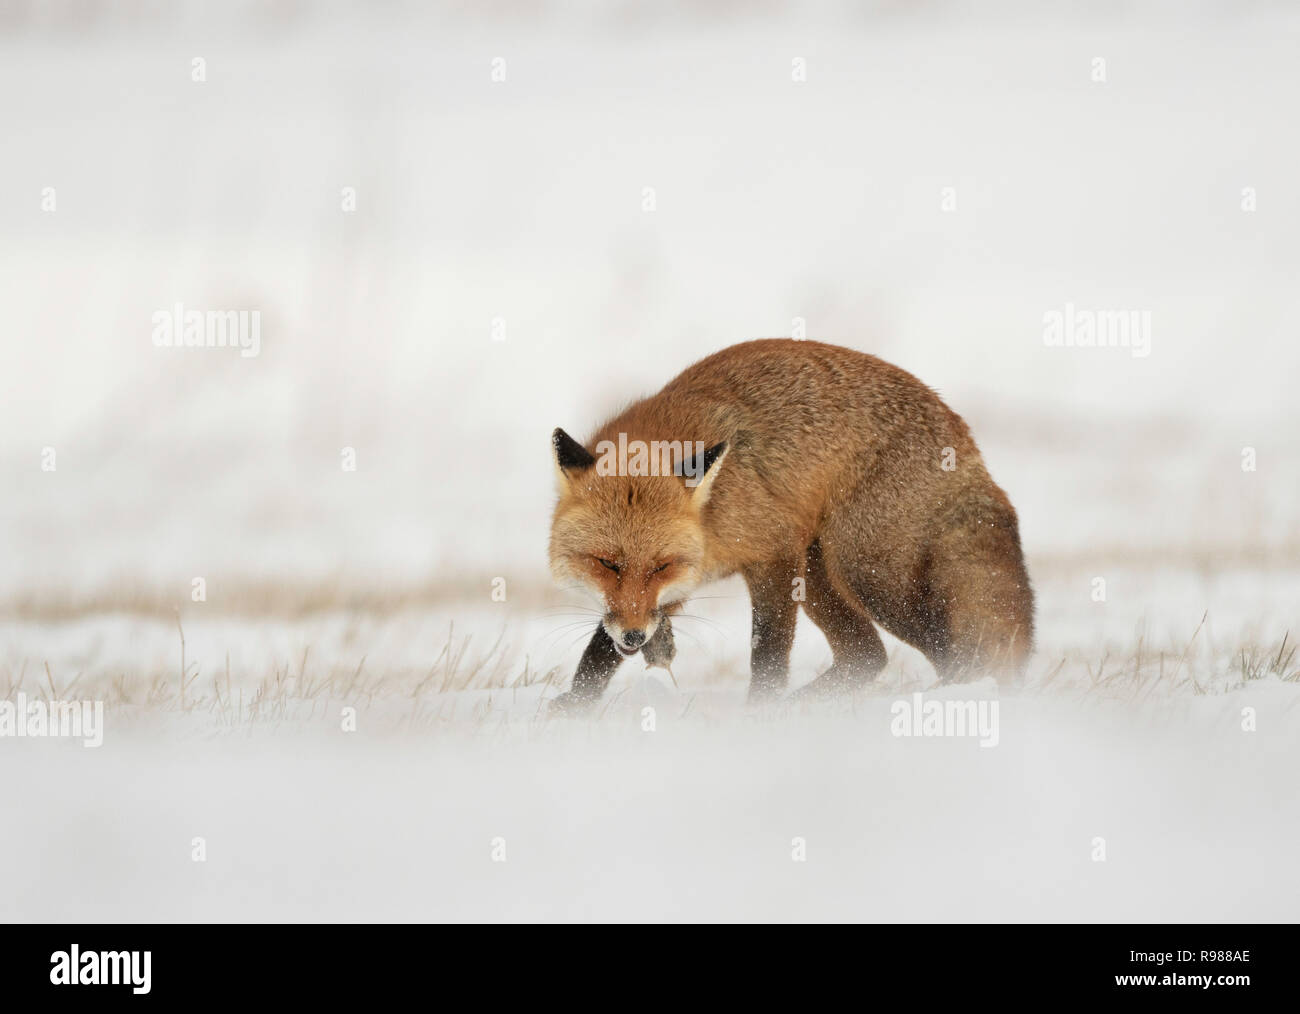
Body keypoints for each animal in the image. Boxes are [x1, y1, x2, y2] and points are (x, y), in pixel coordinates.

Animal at [548, 339, 1033, 712]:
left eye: (659, 566)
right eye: (606, 564)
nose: (634, 635)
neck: (713, 516)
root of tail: (961, 433)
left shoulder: (774, 553)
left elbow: (768, 650)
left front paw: (758, 713)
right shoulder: (672, 588)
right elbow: (601, 648)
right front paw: (576, 707)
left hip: (867, 574)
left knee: (950, 656)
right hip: (820, 574)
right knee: (867, 656)